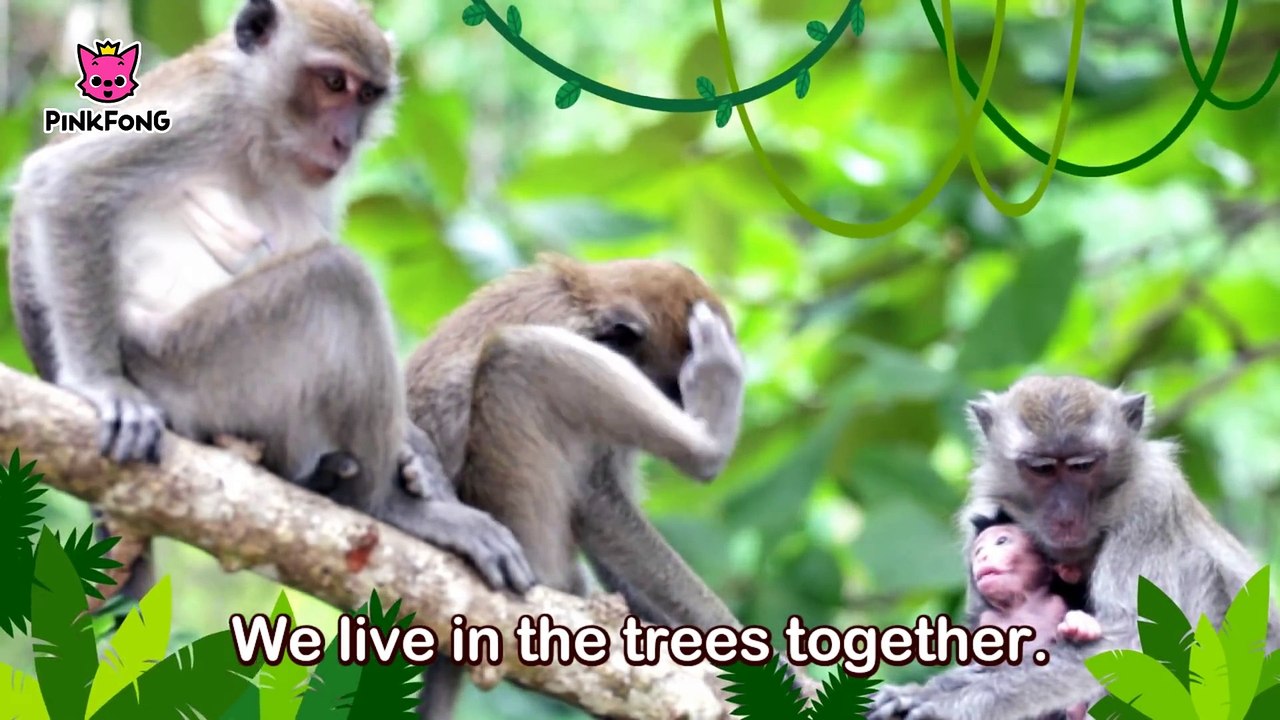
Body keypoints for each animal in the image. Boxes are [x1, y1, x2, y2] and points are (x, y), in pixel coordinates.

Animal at [7, 0, 533, 596]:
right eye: (333, 83)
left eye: (366, 95)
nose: (343, 139)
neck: (261, 126)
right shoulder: (209, 112)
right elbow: (63, 181)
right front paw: (100, 385)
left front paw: (415, 449)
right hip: (197, 369)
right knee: (338, 281)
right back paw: (389, 509)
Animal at [404, 254, 747, 718]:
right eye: (673, 386)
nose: (680, 405)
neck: (584, 301)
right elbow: (599, 506)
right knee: (516, 358)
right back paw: (707, 448)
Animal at [869, 375, 1280, 720]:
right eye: (1042, 469)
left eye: (1083, 466)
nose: (1066, 515)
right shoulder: (983, 506)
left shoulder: (1151, 499)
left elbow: (1133, 636)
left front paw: (941, 701)